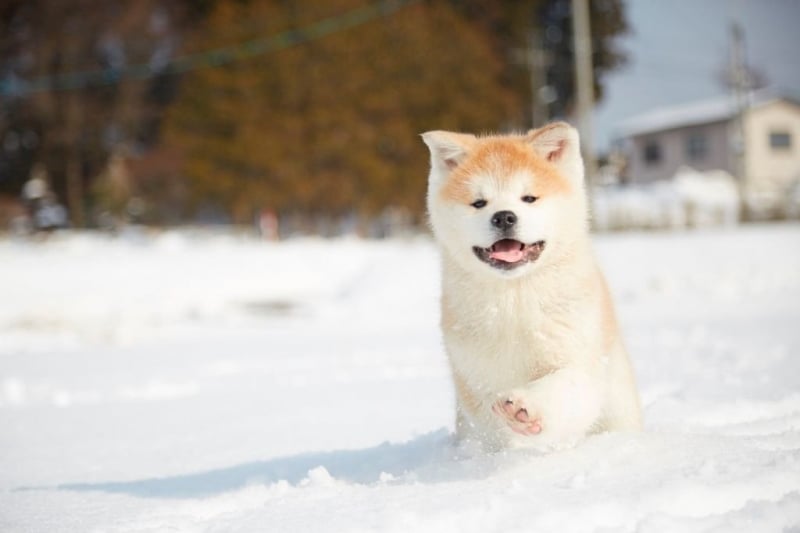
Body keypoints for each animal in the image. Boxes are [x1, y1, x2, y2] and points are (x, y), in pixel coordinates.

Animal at [422, 121, 640, 448]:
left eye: (528, 198)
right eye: (479, 203)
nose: (503, 217)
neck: (515, 300)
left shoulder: (577, 357)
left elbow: (562, 387)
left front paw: (525, 408)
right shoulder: (475, 379)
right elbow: (490, 424)